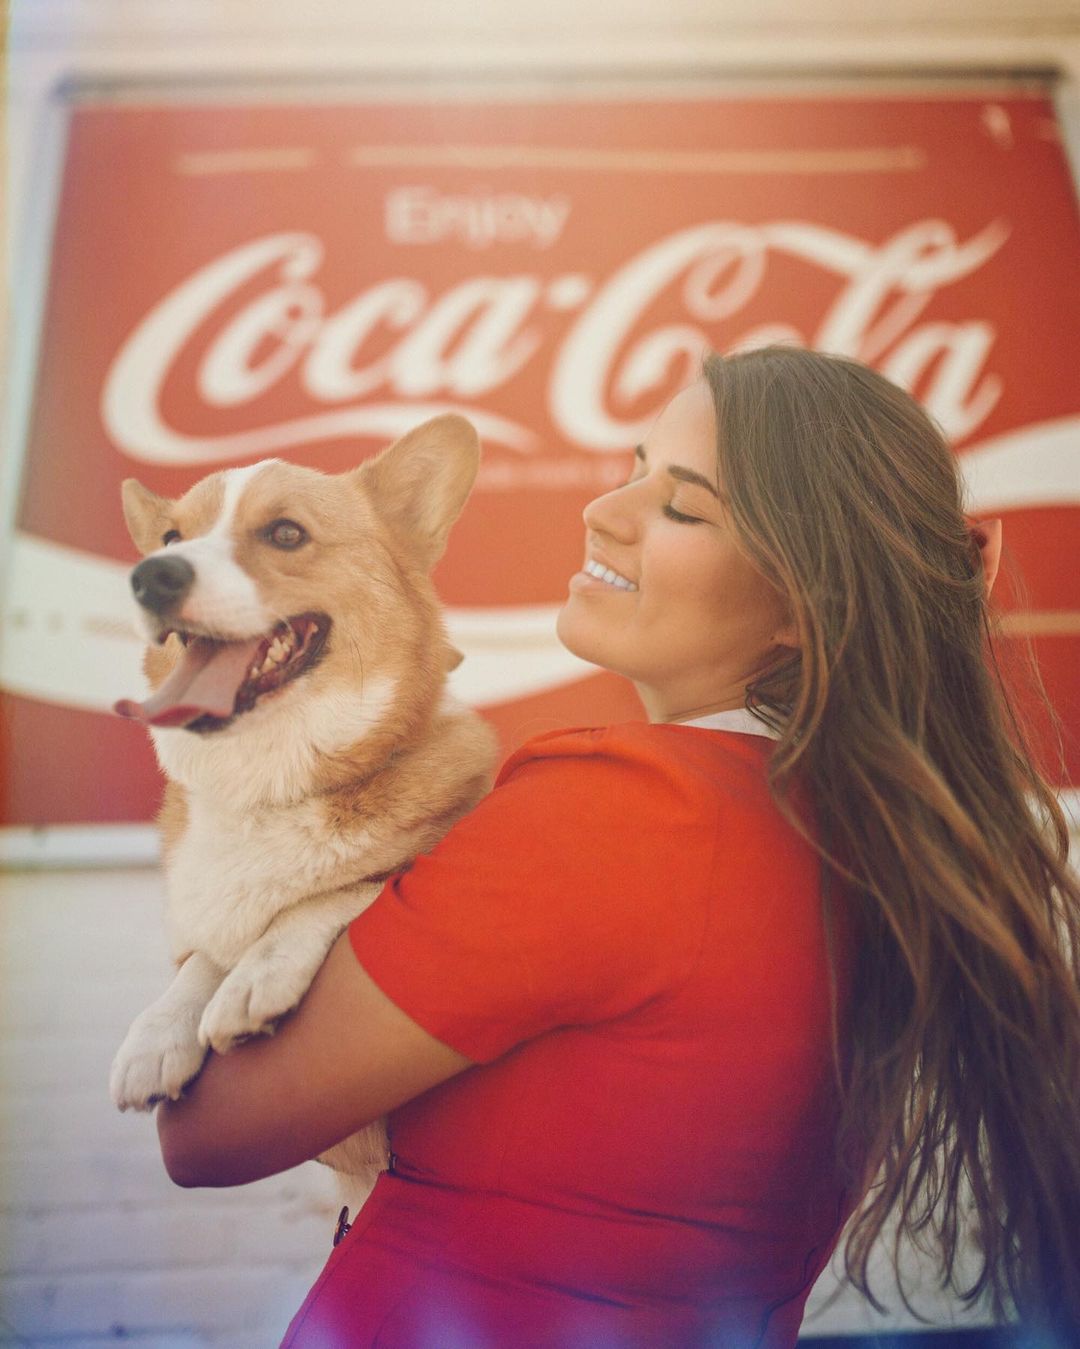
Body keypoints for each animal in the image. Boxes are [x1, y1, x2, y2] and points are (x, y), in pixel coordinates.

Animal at [107, 415, 496, 1187]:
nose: (150, 576)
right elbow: (206, 953)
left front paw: (253, 978)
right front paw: (155, 1035)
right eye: (169, 538)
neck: (266, 786)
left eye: (285, 533)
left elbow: (346, 889)